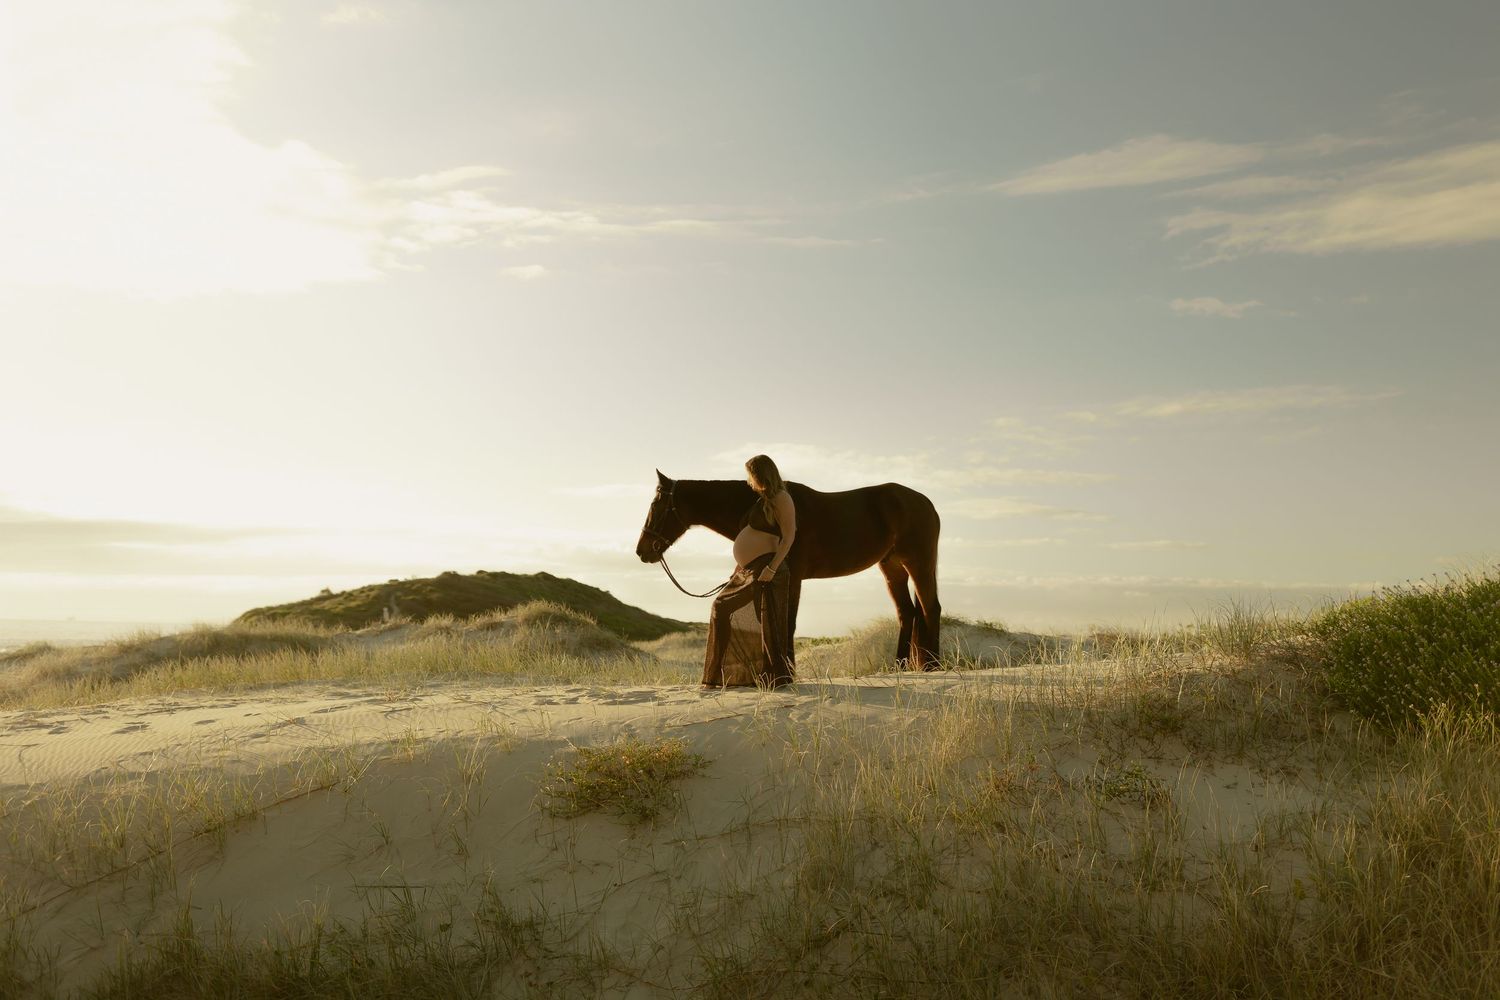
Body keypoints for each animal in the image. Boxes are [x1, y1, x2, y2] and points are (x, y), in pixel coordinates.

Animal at [636, 469, 943, 670]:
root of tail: (926, 502)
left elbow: (789, 622)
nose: (642, 550)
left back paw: (933, 665)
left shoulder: (793, 577)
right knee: (907, 612)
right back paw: (901, 665)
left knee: (930, 608)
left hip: (919, 562)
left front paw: (788, 670)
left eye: (656, 504)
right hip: (892, 567)